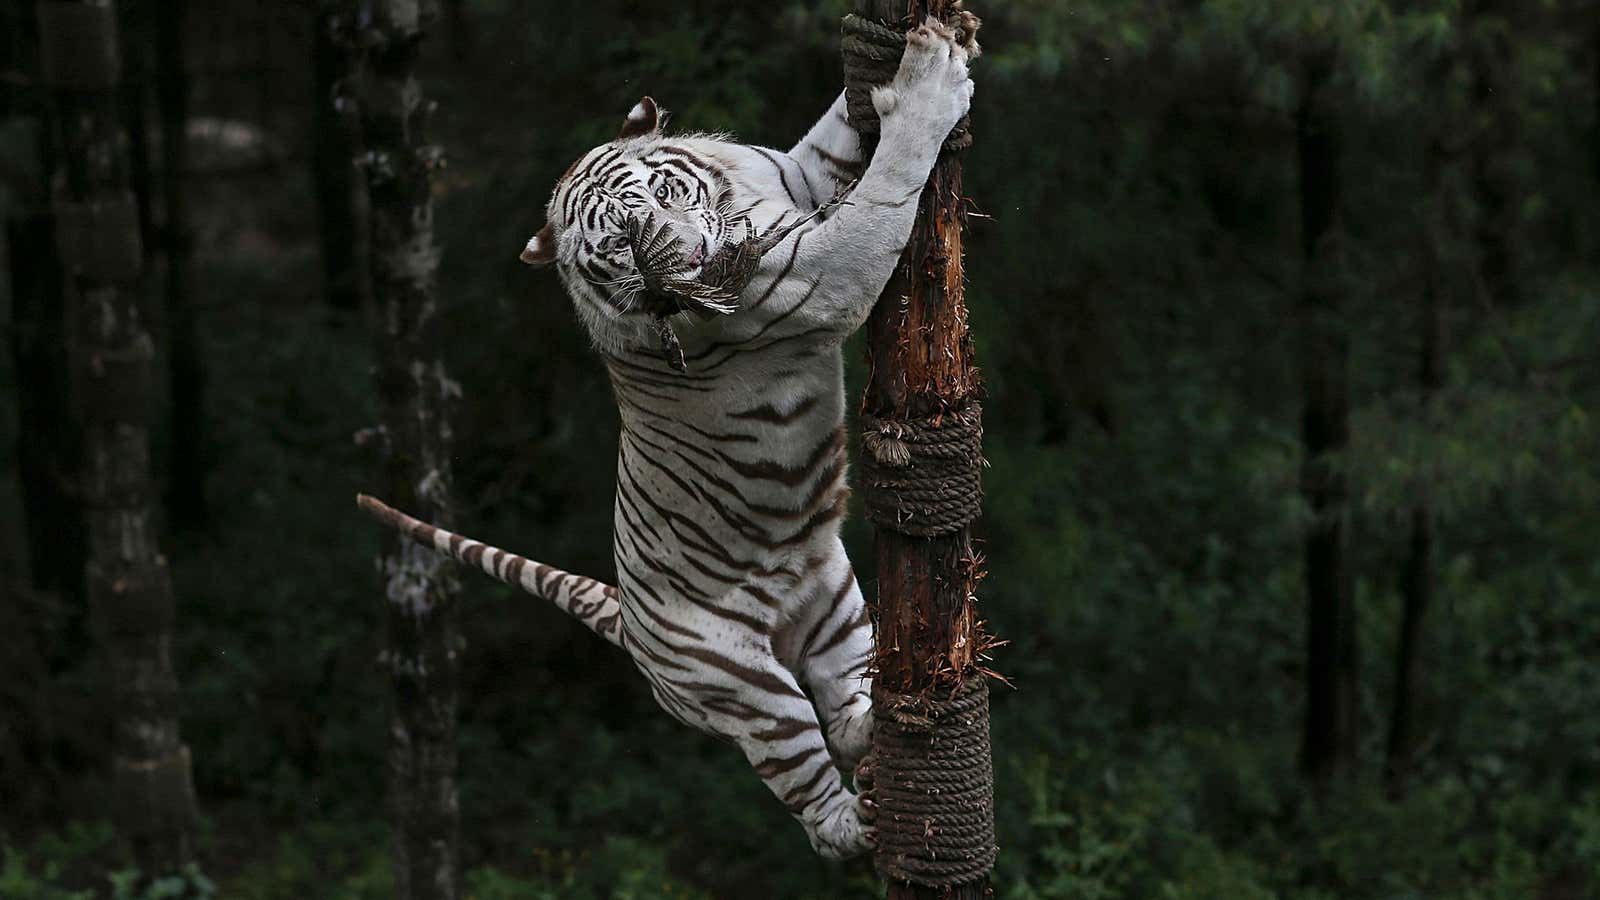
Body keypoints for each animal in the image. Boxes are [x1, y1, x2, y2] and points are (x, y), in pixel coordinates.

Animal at [356, 17, 966, 851]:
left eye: (667, 194)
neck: (744, 195)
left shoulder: (799, 174)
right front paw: (934, 84)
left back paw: (879, 733)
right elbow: (887, 187)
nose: (693, 265)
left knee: (843, 715)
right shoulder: (822, 270)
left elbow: (839, 132)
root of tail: (626, 618)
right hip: (744, 687)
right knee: (809, 789)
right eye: (618, 249)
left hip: (836, 606)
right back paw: (860, 823)